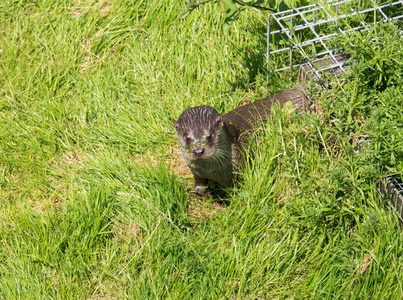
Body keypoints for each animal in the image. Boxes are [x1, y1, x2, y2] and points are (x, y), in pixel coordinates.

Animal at [174, 88, 306, 195]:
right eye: (187, 137)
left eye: (210, 135)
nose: (198, 151)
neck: (210, 170)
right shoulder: (195, 169)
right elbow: (199, 180)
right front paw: (198, 190)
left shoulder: (236, 169)